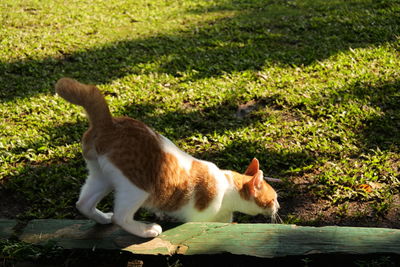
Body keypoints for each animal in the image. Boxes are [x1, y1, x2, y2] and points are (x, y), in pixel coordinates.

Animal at [54, 77, 280, 239]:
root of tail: (109, 123)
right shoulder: (199, 216)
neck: (228, 188)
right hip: (136, 187)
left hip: (100, 177)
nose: (278, 207)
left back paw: (102, 218)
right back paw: (145, 230)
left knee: (83, 203)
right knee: (120, 216)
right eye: (274, 198)